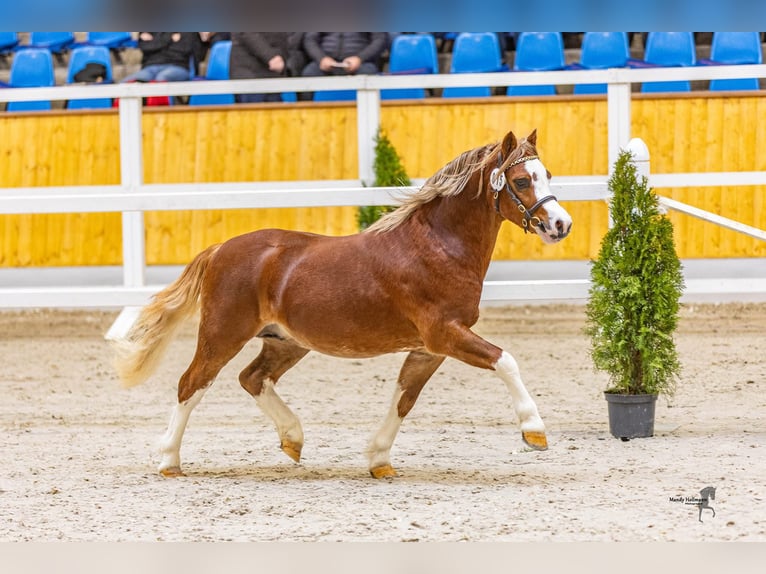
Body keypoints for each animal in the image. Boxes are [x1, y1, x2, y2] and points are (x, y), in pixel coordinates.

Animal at [112, 128, 573, 478]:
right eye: (521, 181)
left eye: (547, 174)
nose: (560, 224)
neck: (438, 247)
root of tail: (220, 248)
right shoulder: (445, 335)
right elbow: (506, 360)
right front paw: (534, 432)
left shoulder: (429, 349)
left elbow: (405, 397)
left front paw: (379, 459)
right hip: (222, 334)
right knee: (192, 384)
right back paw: (169, 461)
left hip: (286, 341)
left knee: (252, 378)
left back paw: (293, 439)